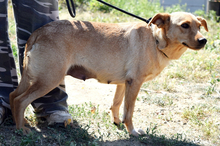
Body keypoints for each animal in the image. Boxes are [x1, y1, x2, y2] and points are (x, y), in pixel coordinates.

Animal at [9, 12, 208, 136]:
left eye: (199, 26)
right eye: (184, 25)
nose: (204, 40)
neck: (155, 40)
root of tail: (38, 33)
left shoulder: (123, 83)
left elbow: (116, 104)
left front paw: (117, 122)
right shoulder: (135, 84)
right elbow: (130, 112)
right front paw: (132, 131)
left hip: (34, 78)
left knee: (13, 96)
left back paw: (21, 121)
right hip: (49, 79)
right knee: (20, 100)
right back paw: (20, 129)